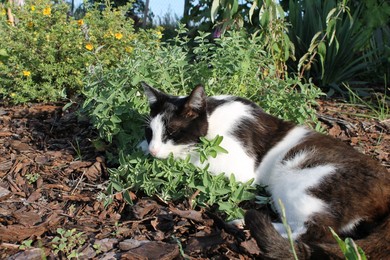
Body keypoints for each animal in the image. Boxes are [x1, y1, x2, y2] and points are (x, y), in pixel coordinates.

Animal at [141, 83, 390, 258]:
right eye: (149, 132)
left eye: (172, 133)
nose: (153, 151)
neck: (212, 114)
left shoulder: (240, 166)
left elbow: (190, 158)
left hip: (301, 182)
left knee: (317, 231)